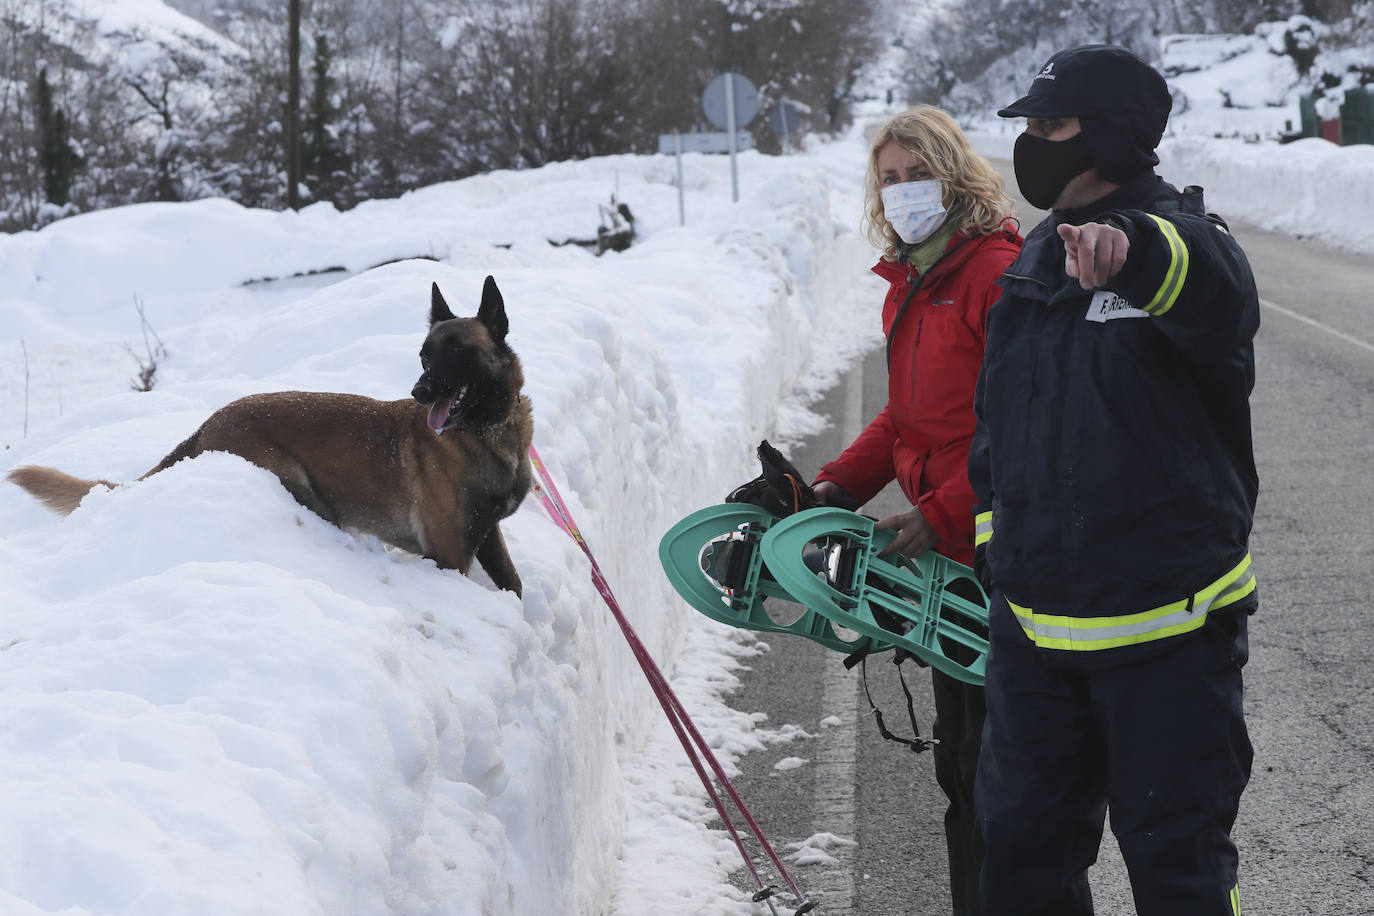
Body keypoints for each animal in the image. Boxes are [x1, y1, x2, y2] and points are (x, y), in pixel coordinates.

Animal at [8, 276, 533, 598]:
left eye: (458, 352)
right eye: (425, 356)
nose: (418, 392)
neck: (488, 433)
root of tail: (206, 424)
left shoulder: (488, 535)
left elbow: (514, 585)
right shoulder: (448, 553)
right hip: (295, 481)